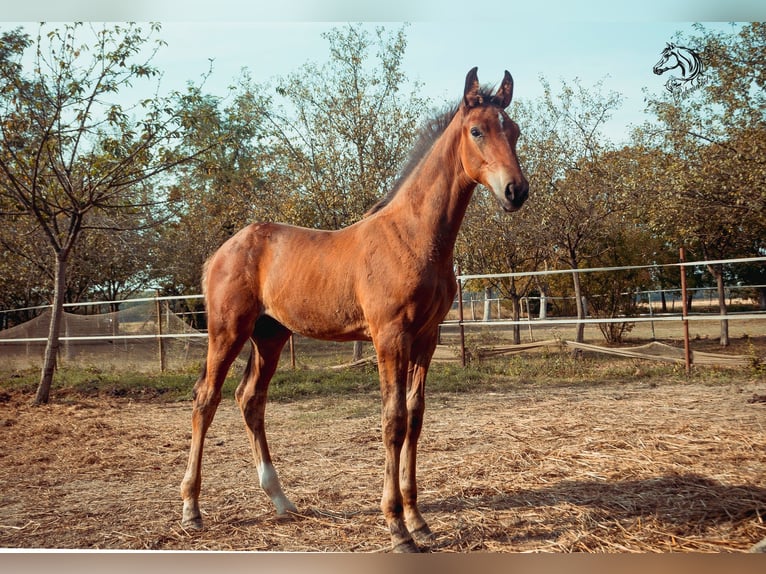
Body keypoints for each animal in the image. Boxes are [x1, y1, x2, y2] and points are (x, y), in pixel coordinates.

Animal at [181, 67, 532, 552]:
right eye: (477, 130)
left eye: (513, 131)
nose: (516, 191)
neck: (415, 236)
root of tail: (221, 251)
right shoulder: (390, 337)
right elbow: (393, 420)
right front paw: (397, 527)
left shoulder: (426, 338)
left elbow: (416, 418)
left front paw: (419, 519)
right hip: (227, 330)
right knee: (206, 399)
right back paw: (192, 509)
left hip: (270, 336)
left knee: (250, 399)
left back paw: (282, 500)